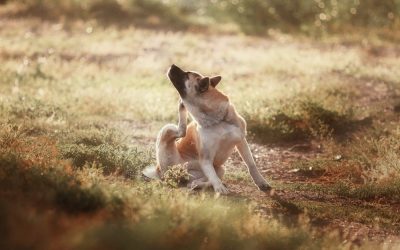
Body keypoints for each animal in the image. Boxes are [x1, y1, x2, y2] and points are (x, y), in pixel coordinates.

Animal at [142, 64, 270, 193]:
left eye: (186, 75)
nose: (172, 65)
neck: (218, 120)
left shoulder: (241, 141)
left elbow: (251, 164)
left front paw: (261, 182)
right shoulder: (206, 157)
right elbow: (212, 176)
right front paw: (219, 187)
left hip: (220, 169)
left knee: (197, 181)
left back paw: (196, 184)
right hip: (167, 131)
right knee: (181, 132)